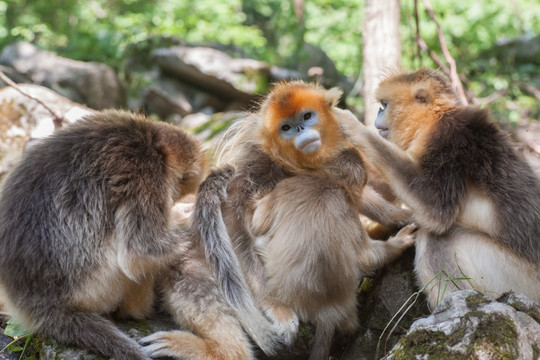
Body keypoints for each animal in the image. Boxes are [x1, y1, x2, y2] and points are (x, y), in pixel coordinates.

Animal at [0, 109, 207, 360]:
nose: (176, 199)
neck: (152, 139)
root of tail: (41, 307)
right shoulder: (144, 169)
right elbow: (142, 251)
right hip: (97, 285)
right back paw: (135, 310)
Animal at [141, 81, 416, 360]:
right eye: (286, 128)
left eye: (306, 116)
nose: (300, 130)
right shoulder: (256, 160)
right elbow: (232, 219)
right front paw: (277, 309)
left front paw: (402, 215)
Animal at [340, 69, 540, 308]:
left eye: (384, 105)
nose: (377, 116)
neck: (432, 121)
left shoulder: (446, 140)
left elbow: (436, 211)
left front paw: (352, 127)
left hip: (518, 279)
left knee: (436, 239)